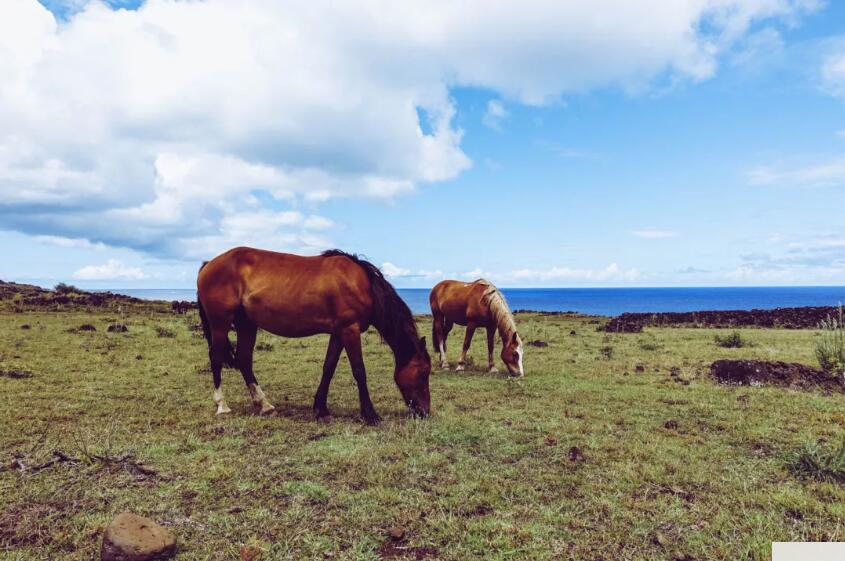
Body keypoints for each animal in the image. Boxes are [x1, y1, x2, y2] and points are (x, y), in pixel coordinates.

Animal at [196, 247, 428, 422]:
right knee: (215, 357)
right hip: (220, 323)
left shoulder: (339, 333)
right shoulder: (350, 330)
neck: (363, 286)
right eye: (423, 373)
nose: (425, 412)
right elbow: (359, 371)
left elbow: (328, 368)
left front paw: (321, 409)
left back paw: (264, 405)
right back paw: (222, 406)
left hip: (246, 325)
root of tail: (209, 264)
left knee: (244, 360)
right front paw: (370, 414)